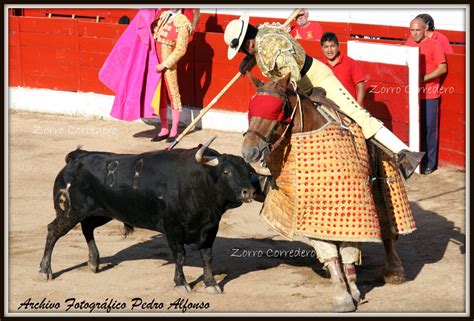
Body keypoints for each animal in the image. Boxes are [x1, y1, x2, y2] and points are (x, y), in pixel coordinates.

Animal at [39, 136, 256, 294]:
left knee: (87, 228)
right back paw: (45, 271)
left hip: (101, 212)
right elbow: (180, 256)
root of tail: (78, 157)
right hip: (71, 212)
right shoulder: (173, 229)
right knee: (53, 231)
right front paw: (181, 283)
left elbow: (207, 256)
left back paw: (93, 262)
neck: (199, 182)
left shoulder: (210, 228)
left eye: (247, 171)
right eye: (226, 171)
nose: (249, 191)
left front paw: (211, 284)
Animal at [243, 72, 412, 310]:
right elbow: (329, 250)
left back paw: (394, 271)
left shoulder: (354, 205)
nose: (248, 151)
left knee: (388, 226)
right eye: (251, 110)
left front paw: (353, 289)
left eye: (277, 111)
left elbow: (349, 248)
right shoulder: (311, 214)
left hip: (382, 184)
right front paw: (342, 294)